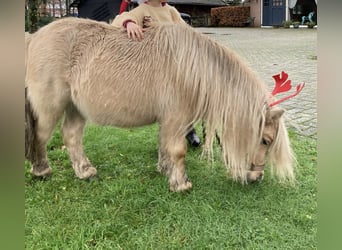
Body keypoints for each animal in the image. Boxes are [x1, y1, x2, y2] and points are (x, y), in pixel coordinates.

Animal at [26, 17, 300, 191]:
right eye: (265, 140)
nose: (257, 177)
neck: (194, 71)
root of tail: (36, 36)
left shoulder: (170, 121)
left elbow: (165, 147)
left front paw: (165, 170)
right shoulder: (176, 119)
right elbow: (178, 151)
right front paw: (181, 184)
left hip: (76, 107)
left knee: (71, 136)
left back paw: (85, 171)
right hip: (51, 106)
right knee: (41, 136)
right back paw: (41, 170)